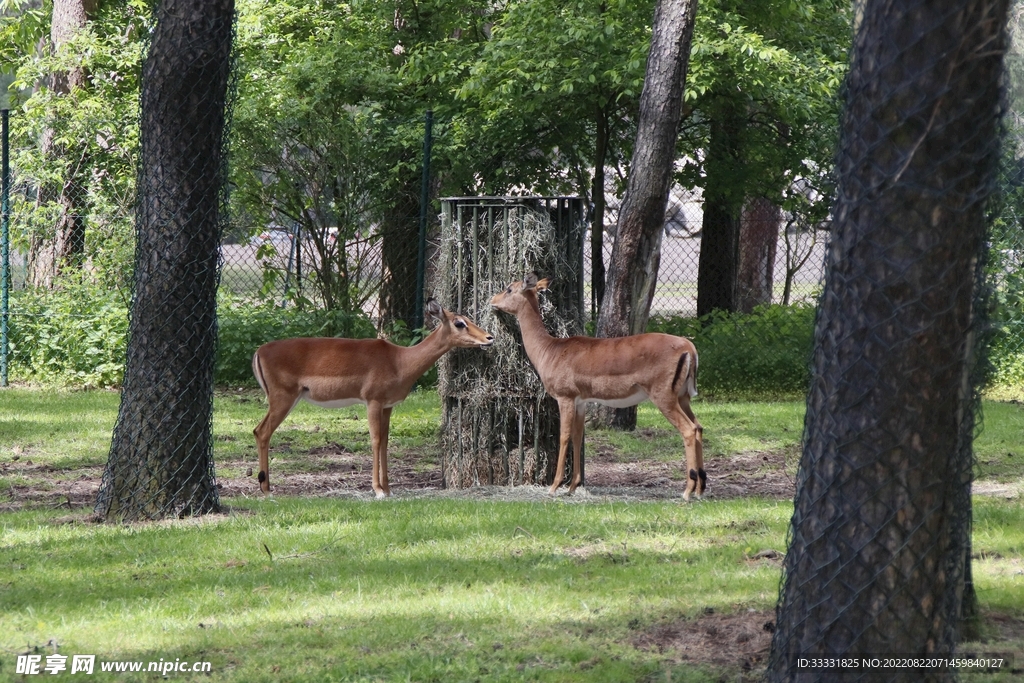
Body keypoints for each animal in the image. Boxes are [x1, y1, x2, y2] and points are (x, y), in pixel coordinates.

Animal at [252, 299, 494, 498]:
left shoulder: (388, 406)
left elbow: (385, 442)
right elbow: (375, 440)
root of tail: (259, 351)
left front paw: (387, 488)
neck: (399, 361)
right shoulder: (373, 402)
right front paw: (378, 490)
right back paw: (267, 489)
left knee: (259, 431)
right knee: (262, 432)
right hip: (283, 398)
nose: (489, 338)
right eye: (459, 322)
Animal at [490, 273, 705, 499]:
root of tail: (688, 347)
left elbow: (564, 436)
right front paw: (573, 486)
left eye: (509, 289)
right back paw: (700, 490)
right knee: (698, 427)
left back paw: (687, 492)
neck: (550, 350)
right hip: (683, 397)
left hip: (664, 397)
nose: (493, 300)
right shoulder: (581, 402)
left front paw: (554, 486)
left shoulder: (565, 398)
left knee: (689, 430)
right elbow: (577, 436)